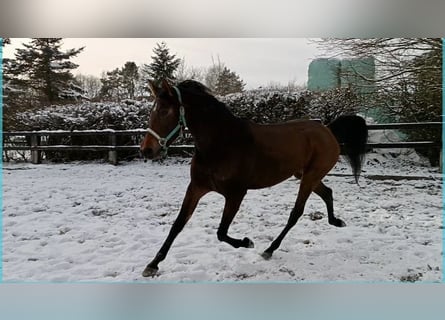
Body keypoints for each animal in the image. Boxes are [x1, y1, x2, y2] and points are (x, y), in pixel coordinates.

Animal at [140, 79, 366, 276]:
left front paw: (247, 242)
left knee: (296, 212)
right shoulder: (196, 187)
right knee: (327, 193)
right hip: (306, 174)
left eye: (164, 111)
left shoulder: (235, 194)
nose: (146, 150)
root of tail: (328, 130)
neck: (221, 143)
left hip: (310, 177)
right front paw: (152, 264)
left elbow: (221, 232)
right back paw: (336, 222)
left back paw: (269, 249)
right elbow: (178, 225)